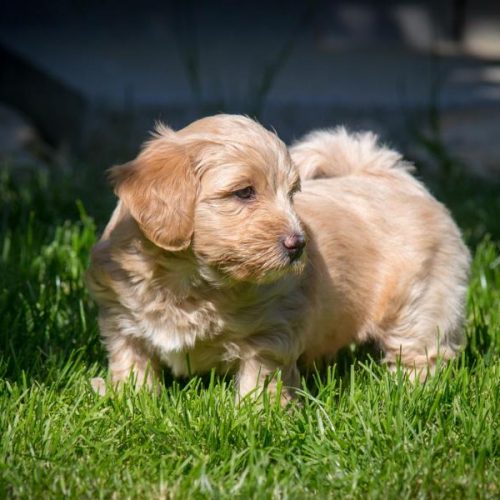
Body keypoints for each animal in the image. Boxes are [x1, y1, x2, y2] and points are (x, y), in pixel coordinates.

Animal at [85, 115, 468, 400]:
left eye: (291, 194)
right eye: (244, 192)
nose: (298, 244)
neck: (191, 282)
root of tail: (393, 178)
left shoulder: (270, 331)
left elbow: (260, 377)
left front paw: (256, 416)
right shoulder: (122, 318)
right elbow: (131, 361)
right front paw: (129, 398)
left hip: (422, 299)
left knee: (422, 351)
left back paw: (412, 394)